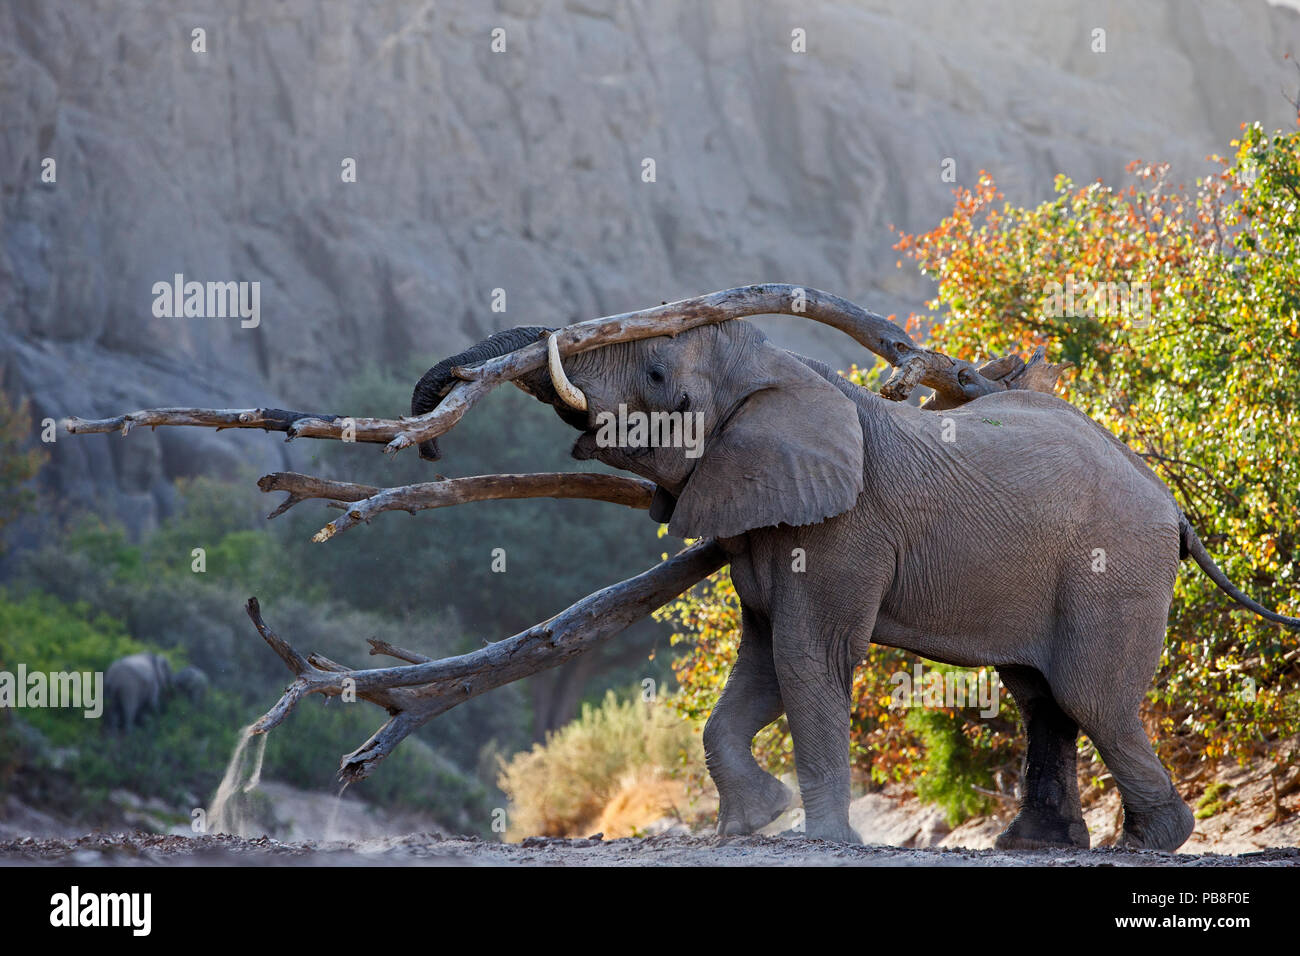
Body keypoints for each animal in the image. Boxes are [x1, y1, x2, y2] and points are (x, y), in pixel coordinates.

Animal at [418, 321, 1300, 853]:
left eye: (661, 374)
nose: (427, 445)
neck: (782, 371)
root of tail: (1173, 505)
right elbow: (762, 662)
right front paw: (752, 824)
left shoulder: (845, 528)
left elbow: (807, 656)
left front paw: (817, 838)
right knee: (1040, 696)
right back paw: (1035, 845)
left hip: (1113, 567)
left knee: (1092, 697)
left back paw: (1150, 842)